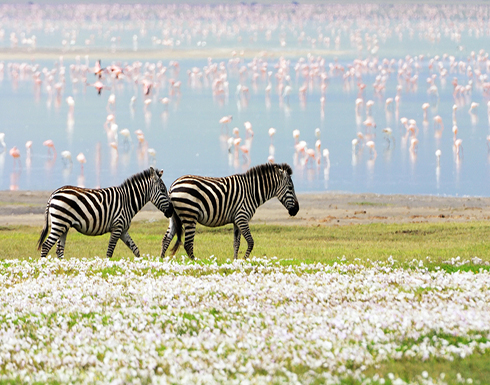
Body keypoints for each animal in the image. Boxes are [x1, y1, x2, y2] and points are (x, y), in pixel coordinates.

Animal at [37, 166, 173, 258]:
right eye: (162, 190)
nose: (171, 211)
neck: (127, 201)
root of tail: (54, 193)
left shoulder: (123, 230)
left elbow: (135, 249)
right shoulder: (117, 227)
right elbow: (109, 252)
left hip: (63, 226)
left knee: (59, 249)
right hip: (59, 223)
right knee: (46, 245)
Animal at [162, 160, 298, 260]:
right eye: (290, 188)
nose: (296, 210)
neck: (252, 192)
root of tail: (172, 186)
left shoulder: (236, 220)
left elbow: (236, 244)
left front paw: (235, 261)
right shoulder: (242, 217)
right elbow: (251, 242)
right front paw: (244, 260)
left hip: (174, 216)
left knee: (166, 239)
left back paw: (161, 261)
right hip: (189, 215)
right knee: (188, 244)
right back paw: (196, 262)